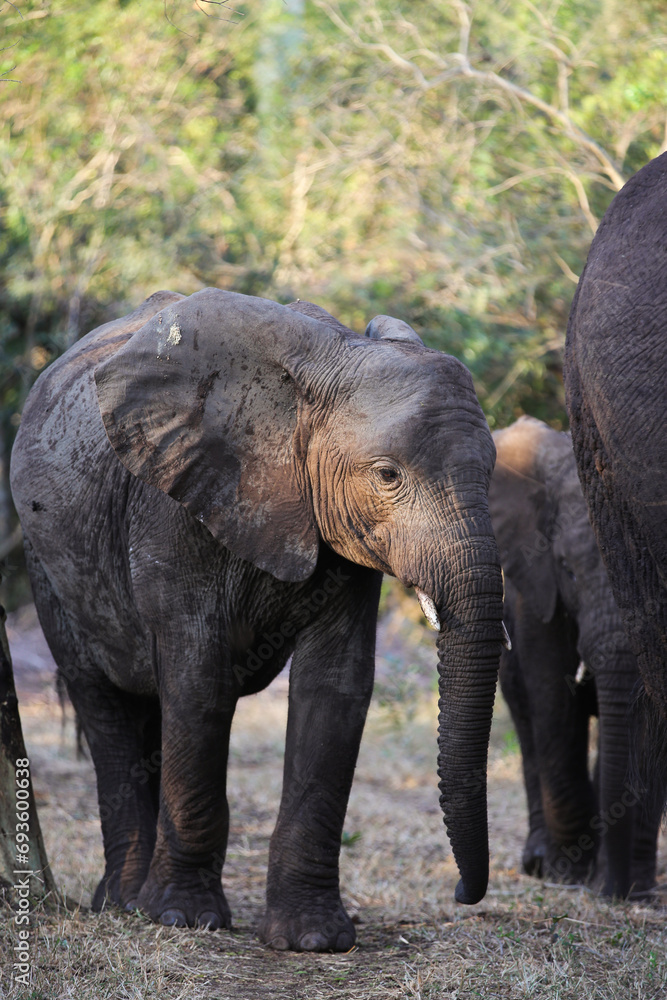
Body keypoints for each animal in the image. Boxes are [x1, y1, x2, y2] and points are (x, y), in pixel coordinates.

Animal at [10, 288, 506, 952]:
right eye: (387, 475)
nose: (460, 893)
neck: (328, 358)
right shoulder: (173, 502)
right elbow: (199, 683)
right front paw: (183, 918)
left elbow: (335, 687)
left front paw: (313, 939)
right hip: (48, 563)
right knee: (105, 704)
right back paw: (123, 903)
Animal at [488, 414, 660, 900]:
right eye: (567, 568)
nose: (615, 892)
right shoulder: (536, 586)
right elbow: (553, 696)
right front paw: (569, 873)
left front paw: (633, 884)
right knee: (527, 721)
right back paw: (539, 863)